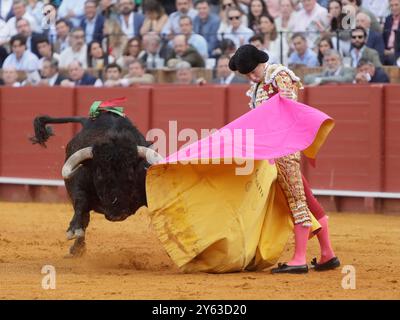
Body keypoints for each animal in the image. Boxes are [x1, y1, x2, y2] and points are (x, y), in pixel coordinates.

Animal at [30, 113, 162, 258]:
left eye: (131, 175)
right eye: (99, 175)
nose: (117, 216)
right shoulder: (77, 184)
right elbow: (81, 203)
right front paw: (73, 230)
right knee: (85, 216)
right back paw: (77, 248)